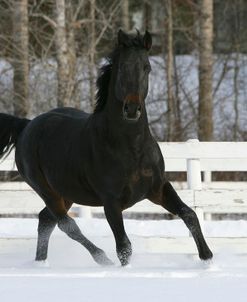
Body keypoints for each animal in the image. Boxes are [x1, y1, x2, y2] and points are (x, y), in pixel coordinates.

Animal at [0, 30, 212, 266]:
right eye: (122, 67)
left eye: (146, 67)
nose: (132, 109)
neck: (132, 149)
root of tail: (26, 126)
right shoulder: (111, 202)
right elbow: (124, 247)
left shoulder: (158, 188)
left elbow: (189, 214)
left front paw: (207, 259)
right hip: (47, 190)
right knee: (67, 225)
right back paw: (101, 258)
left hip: (68, 192)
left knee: (45, 220)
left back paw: (41, 263)